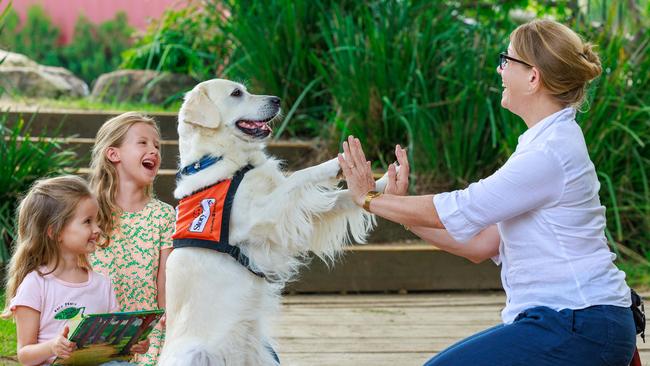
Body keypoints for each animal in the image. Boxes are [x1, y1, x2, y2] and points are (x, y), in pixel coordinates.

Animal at [159, 78, 388, 364]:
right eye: (236, 93)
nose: (277, 100)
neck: (222, 160)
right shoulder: (260, 215)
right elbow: (300, 175)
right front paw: (335, 164)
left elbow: (342, 197)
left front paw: (384, 181)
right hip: (193, 354)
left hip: (262, 351)